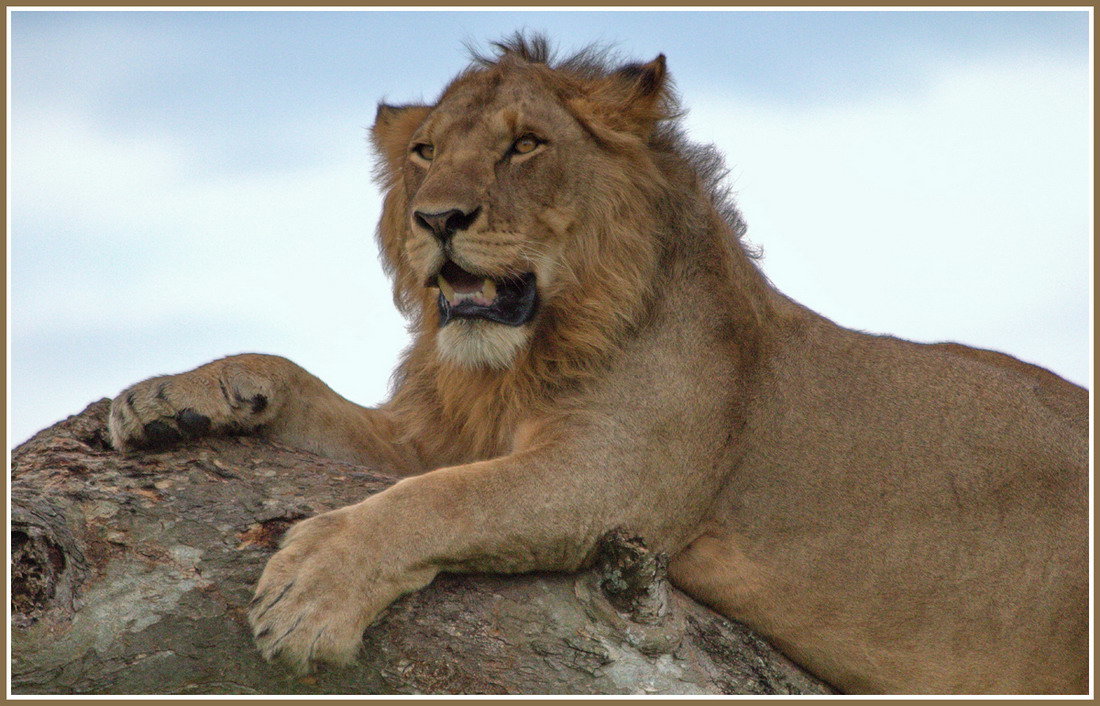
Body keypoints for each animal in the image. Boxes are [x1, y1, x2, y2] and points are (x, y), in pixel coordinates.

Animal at [105, 35, 1091, 690]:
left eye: (524, 145)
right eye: (425, 152)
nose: (436, 219)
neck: (514, 364)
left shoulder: (617, 477)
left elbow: (441, 501)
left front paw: (311, 594)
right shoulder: (435, 437)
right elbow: (305, 385)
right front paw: (168, 398)